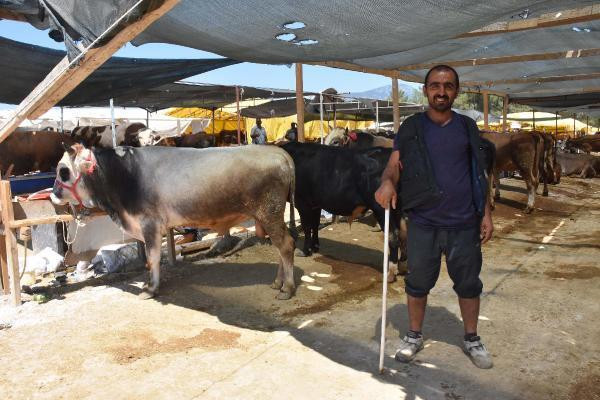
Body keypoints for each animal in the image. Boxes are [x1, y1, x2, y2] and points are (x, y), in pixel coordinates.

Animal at [52, 145, 298, 300]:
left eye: (63, 171)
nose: (53, 194)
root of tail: (277, 151)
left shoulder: (149, 224)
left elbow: (152, 258)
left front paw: (151, 288)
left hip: (270, 213)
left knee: (286, 245)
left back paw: (287, 288)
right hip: (271, 216)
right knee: (281, 246)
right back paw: (278, 282)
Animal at [278, 142, 406, 282]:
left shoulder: (303, 203)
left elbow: (307, 227)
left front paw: (306, 251)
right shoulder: (315, 204)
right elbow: (315, 225)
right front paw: (315, 246)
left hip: (381, 207)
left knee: (393, 236)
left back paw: (390, 273)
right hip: (398, 209)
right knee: (403, 235)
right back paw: (402, 266)